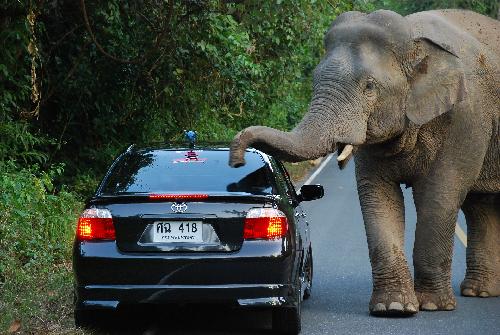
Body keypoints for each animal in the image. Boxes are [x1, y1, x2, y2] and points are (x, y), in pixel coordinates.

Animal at [229, 9, 498, 316]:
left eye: (369, 87)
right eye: (314, 79)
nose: (236, 160)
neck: (414, 40)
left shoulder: (467, 119)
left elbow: (439, 195)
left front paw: (432, 306)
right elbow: (377, 195)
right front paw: (393, 307)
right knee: (481, 207)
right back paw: (480, 291)